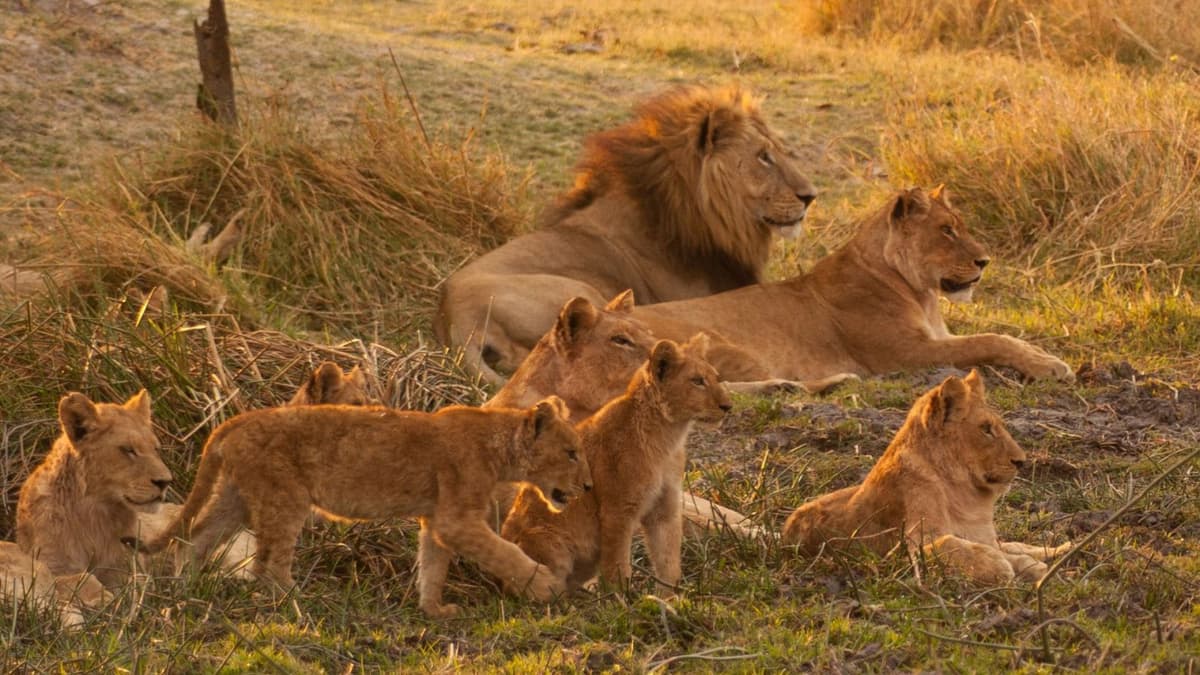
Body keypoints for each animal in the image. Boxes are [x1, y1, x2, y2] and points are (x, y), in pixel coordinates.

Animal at [15, 390, 173, 588]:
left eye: (155, 449)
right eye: (128, 449)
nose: (165, 481)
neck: (97, 516)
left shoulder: (127, 571)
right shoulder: (52, 565)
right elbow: (85, 581)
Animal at [140, 397, 590, 618]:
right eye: (570, 452)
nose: (587, 485)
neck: (501, 447)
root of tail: (234, 422)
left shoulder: (438, 519)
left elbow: (433, 565)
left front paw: (434, 610)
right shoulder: (457, 519)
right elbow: (504, 552)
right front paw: (544, 585)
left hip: (235, 499)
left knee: (194, 540)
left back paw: (187, 589)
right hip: (285, 498)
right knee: (268, 565)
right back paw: (301, 599)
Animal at [502, 335, 732, 594]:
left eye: (716, 378)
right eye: (697, 381)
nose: (728, 406)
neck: (668, 437)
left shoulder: (664, 508)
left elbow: (668, 558)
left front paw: (669, 596)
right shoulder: (618, 509)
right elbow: (617, 563)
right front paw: (622, 599)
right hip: (547, 539)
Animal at [630, 186, 1074, 391]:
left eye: (960, 227)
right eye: (946, 230)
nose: (985, 261)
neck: (922, 294)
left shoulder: (935, 337)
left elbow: (1004, 335)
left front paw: (1044, 356)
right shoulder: (905, 353)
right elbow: (989, 340)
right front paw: (1051, 366)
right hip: (716, 341)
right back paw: (801, 384)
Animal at [782, 369, 1070, 584]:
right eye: (986, 429)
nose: (1021, 461)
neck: (967, 494)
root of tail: (785, 531)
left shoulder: (985, 536)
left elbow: (1007, 548)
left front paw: (1031, 564)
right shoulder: (915, 545)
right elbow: (953, 545)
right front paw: (1000, 566)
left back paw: (1062, 549)